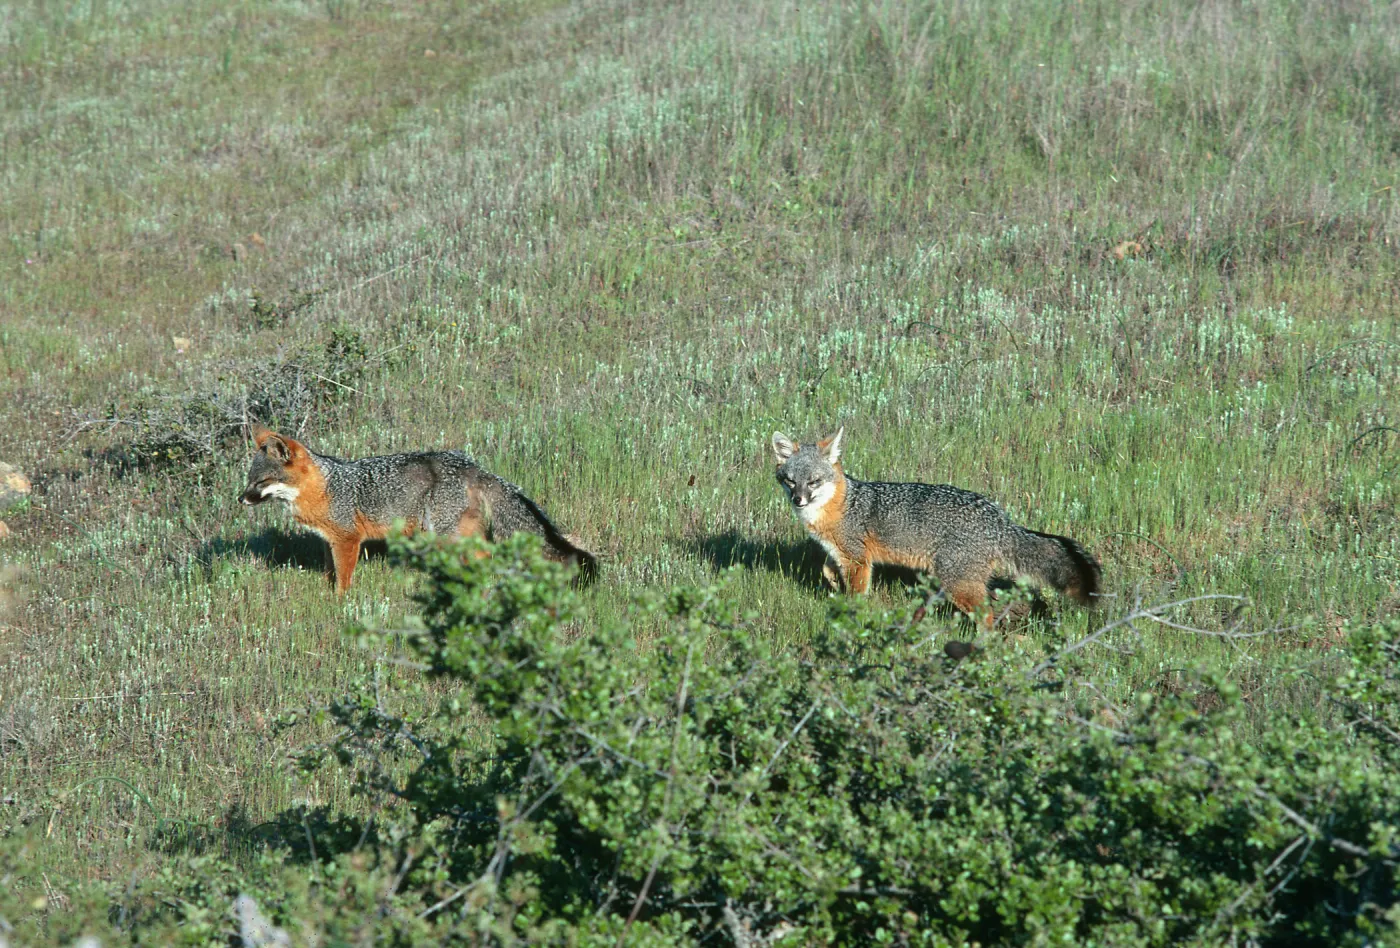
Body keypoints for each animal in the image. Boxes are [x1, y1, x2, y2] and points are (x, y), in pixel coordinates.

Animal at [239, 425, 596, 593]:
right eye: (249, 480)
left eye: (261, 482)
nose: (241, 499)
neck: (324, 487)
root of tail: (472, 465)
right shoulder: (330, 542)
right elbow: (331, 575)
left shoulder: (348, 540)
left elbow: (344, 580)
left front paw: (340, 606)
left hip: (445, 535)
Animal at [771, 427, 1101, 626]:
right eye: (791, 481)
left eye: (814, 482)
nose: (799, 500)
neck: (840, 506)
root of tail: (1000, 519)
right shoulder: (843, 555)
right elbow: (827, 569)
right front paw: (833, 585)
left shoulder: (858, 560)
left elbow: (856, 593)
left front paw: (853, 615)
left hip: (959, 583)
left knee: (987, 617)